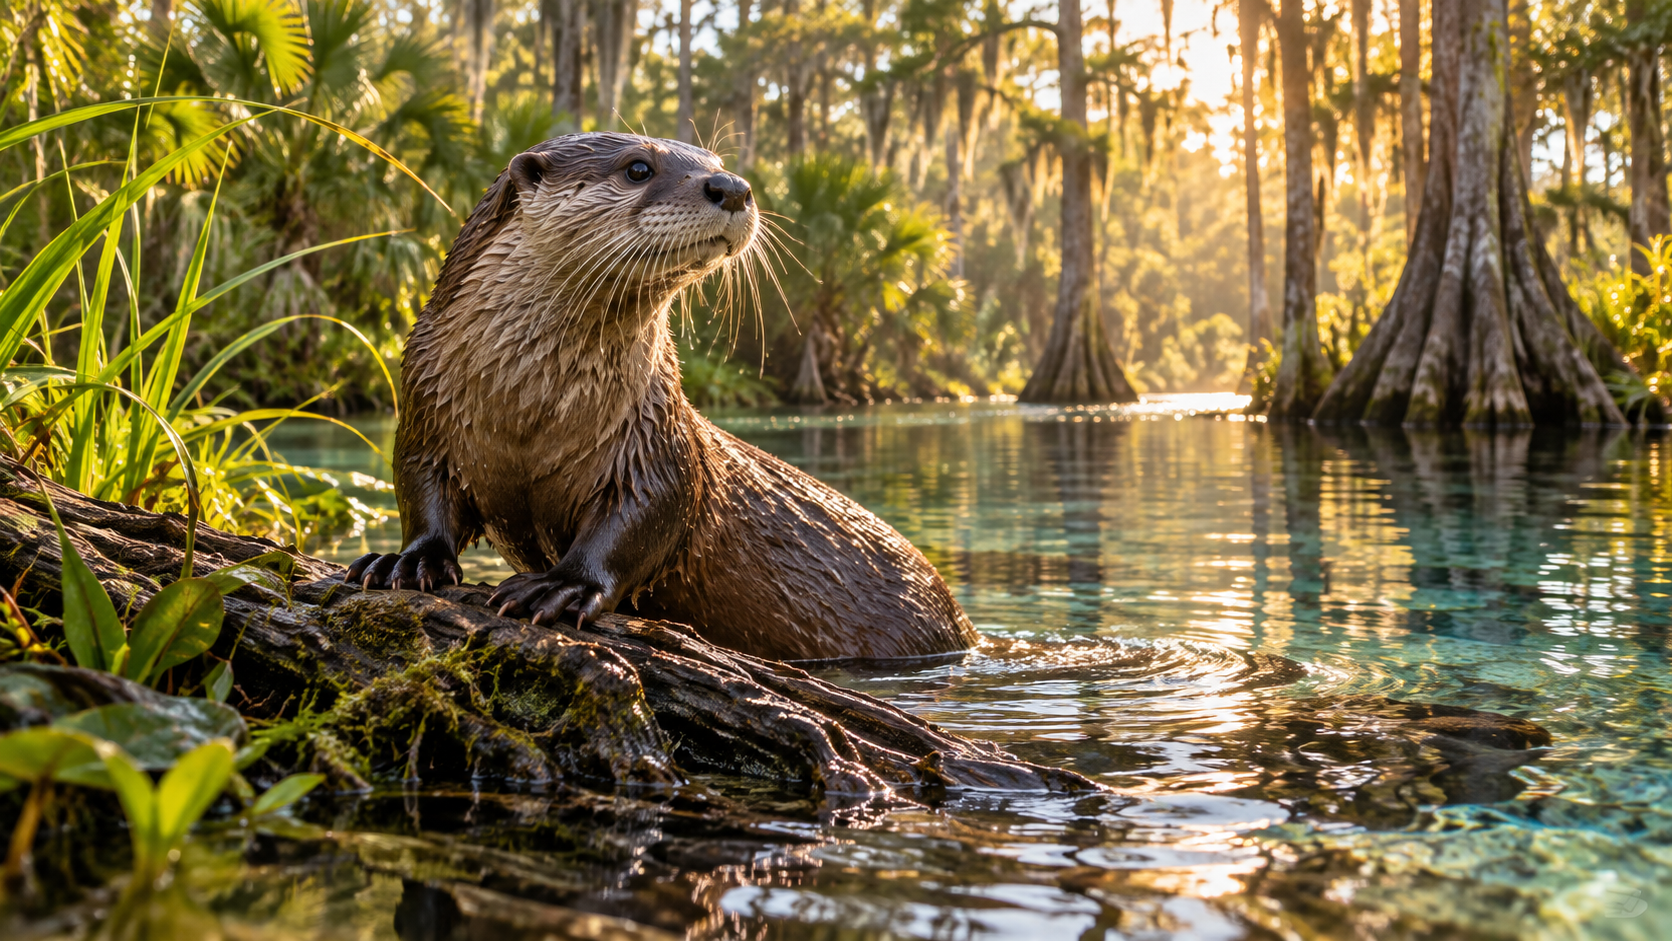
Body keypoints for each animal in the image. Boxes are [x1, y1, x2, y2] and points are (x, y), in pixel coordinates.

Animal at [348, 133, 977, 661]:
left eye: (717, 162)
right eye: (638, 167)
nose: (734, 187)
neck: (530, 410)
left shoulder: (653, 438)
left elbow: (646, 515)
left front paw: (561, 586)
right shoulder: (426, 407)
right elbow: (421, 490)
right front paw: (406, 559)